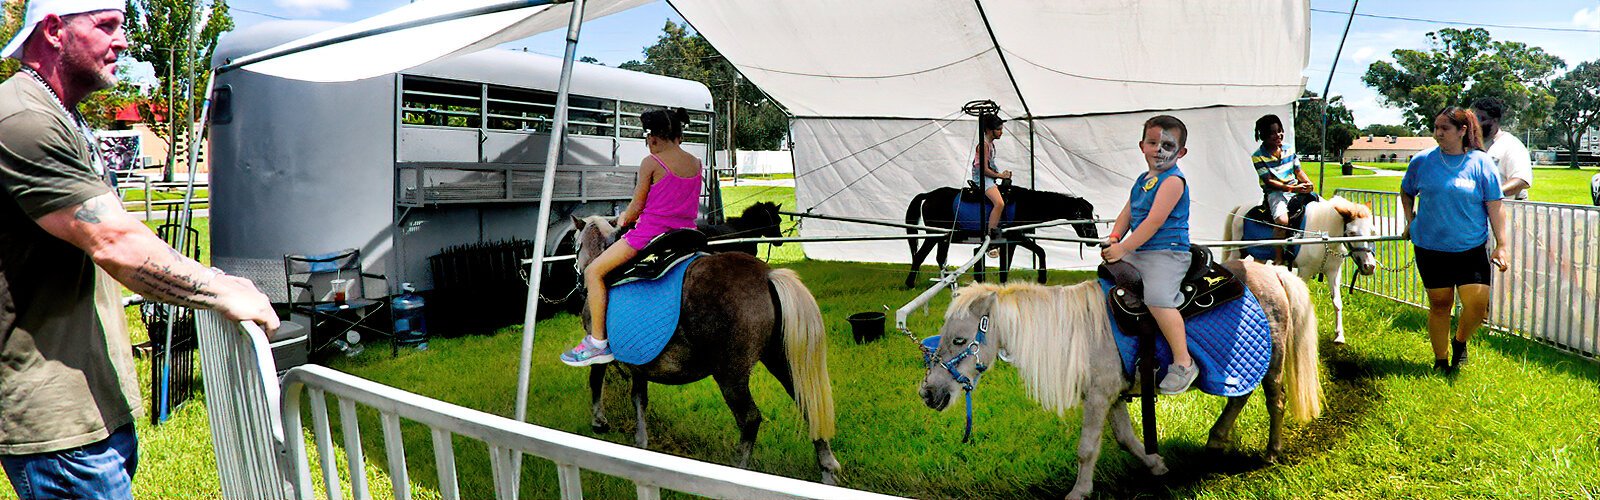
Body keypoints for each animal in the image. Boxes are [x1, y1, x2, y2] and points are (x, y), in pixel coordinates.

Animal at [569, 216, 844, 483]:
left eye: (574, 244)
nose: (578, 281)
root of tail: (766, 274)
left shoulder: (603, 354)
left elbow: (596, 380)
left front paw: (599, 421)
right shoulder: (640, 360)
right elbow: (639, 398)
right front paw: (641, 441)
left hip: (730, 375)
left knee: (750, 419)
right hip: (780, 360)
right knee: (808, 406)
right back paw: (826, 469)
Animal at [921, 259, 1318, 496]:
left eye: (959, 340)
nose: (929, 393)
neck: (1080, 330)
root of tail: (1274, 271)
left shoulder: (1098, 398)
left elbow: (1087, 448)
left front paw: (1079, 492)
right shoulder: (1110, 396)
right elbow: (1126, 439)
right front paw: (1157, 466)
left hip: (1273, 358)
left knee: (1275, 399)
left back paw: (1272, 452)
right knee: (1240, 395)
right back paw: (1217, 439)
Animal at [1222, 195, 1376, 342]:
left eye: (1373, 231)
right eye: (1352, 233)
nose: (1369, 266)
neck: (1323, 237)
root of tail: (1241, 208)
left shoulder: (1333, 272)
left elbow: (1337, 302)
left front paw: (1339, 336)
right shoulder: (1304, 272)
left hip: (1260, 257)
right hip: (1237, 251)